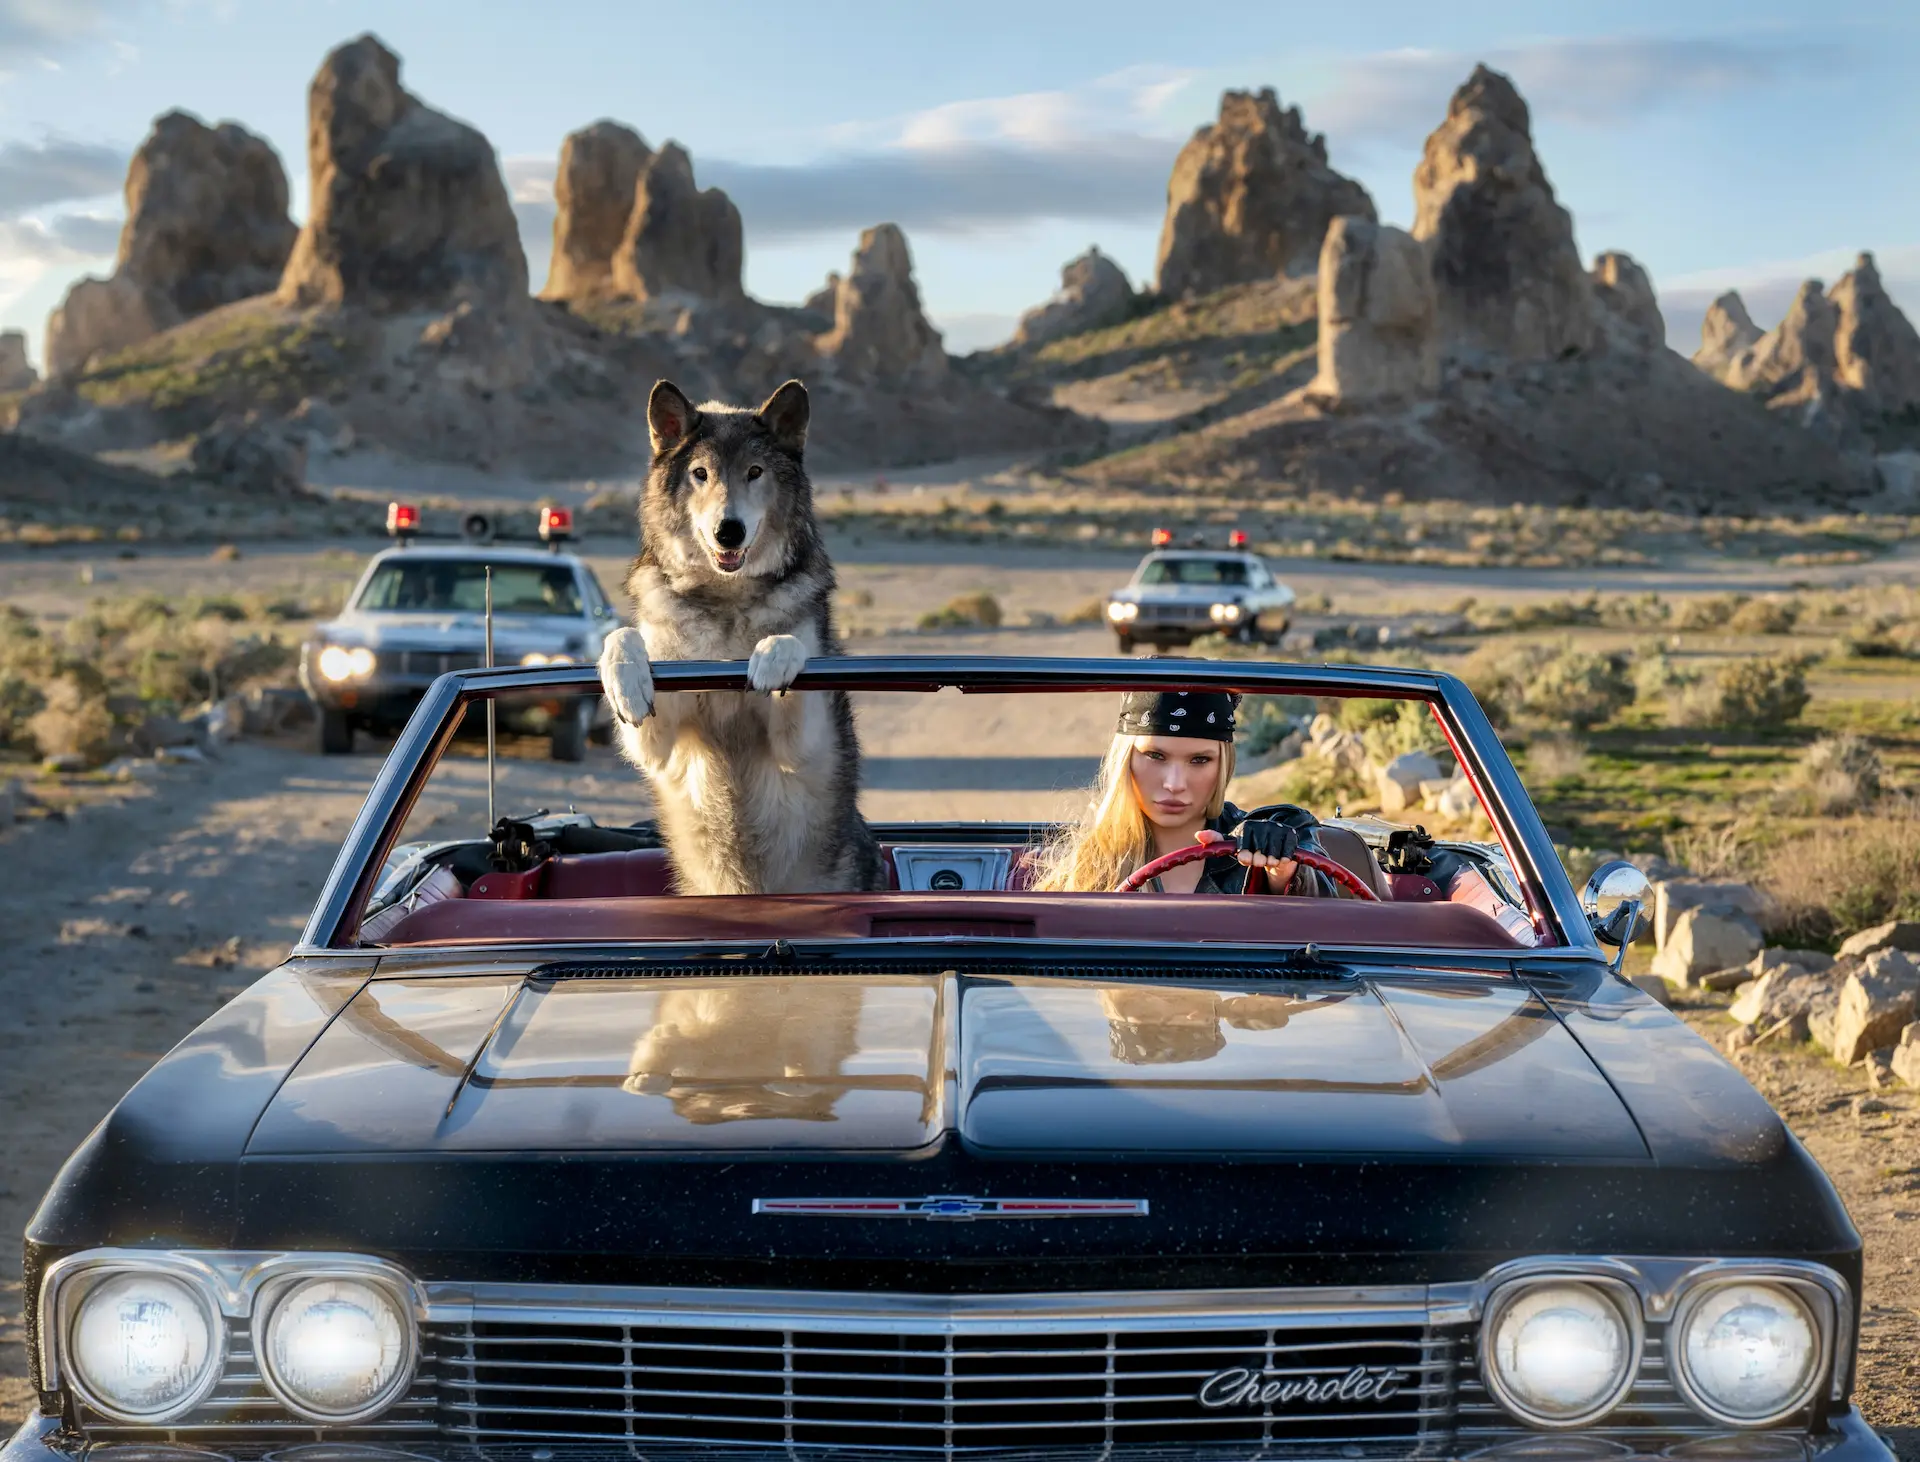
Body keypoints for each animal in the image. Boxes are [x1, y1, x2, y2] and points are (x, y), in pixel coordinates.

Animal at [597, 377, 886, 895]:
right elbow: (624, 636)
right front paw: (625, 681)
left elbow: (789, 640)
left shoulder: (803, 746)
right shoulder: (658, 746)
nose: (728, 531)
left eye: (755, 472)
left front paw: (772, 659)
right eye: (700, 474)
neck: (726, 606)